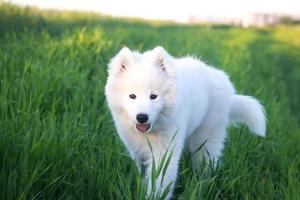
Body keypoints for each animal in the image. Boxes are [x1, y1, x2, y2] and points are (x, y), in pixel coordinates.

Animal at [104, 46, 266, 198]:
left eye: (153, 96)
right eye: (132, 96)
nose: (142, 117)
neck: (150, 132)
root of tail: (225, 82)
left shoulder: (164, 151)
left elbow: (159, 180)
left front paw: (154, 196)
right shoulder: (136, 151)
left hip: (205, 138)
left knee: (208, 164)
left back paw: (203, 187)